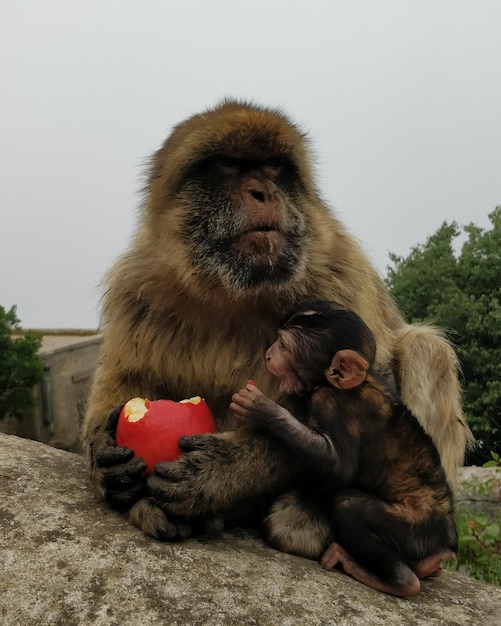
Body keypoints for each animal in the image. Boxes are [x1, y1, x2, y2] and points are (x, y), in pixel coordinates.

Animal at [81, 98, 468, 552]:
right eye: (229, 165)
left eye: (272, 166)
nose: (263, 191)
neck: (231, 291)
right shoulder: (135, 290)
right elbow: (127, 381)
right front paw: (105, 455)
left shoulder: (339, 273)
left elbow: (364, 396)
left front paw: (224, 471)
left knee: (427, 349)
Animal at [230, 302, 458, 596]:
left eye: (282, 345)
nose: (268, 354)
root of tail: (445, 544)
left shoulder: (331, 402)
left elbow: (339, 465)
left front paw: (261, 409)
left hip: (417, 530)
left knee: (349, 507)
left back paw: (395, 579)